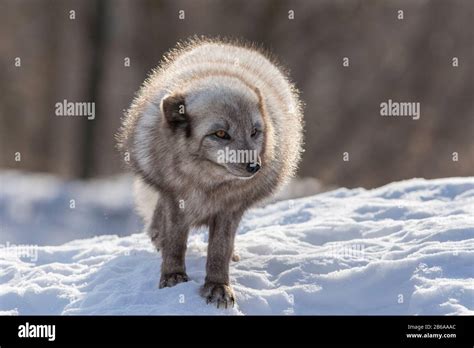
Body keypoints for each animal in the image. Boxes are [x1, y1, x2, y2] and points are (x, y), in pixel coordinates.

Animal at [117, 38, 306, 308]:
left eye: (254, 132)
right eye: (220, 134)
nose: (254, 167)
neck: (207, 185)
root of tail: (229, 45)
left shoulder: (230, 209)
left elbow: (219, 250)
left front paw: (218, 286)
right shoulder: (175, 199)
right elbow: (175, 242)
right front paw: (173, 277)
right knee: (159, 221)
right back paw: (157, 236)